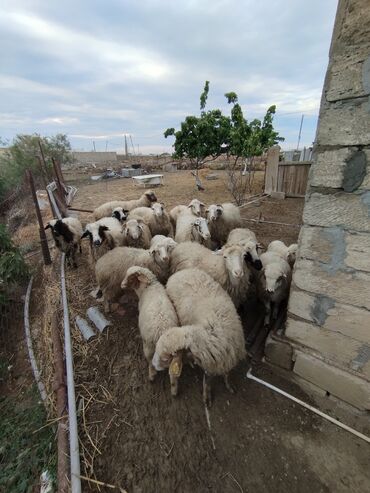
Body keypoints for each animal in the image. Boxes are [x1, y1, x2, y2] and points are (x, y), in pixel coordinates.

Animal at [152, 270, 247, 404]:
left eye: (166, 358)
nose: (153, 365)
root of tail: (181, 272)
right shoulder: (210, 362)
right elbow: (207, 381)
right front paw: (206, 397)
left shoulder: (226, 357)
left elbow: (227, 374)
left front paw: (229, 384)